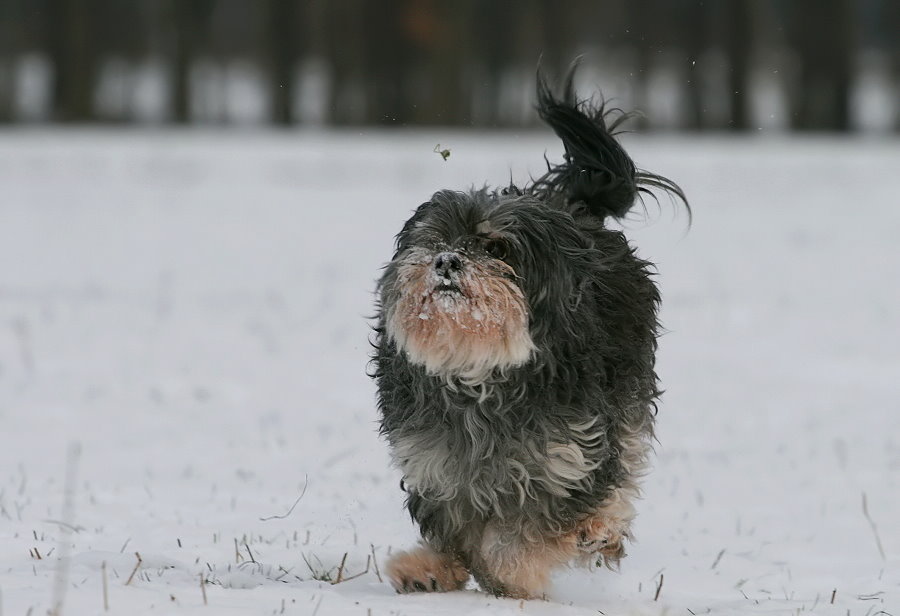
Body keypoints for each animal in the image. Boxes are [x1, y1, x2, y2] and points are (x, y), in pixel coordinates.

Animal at [372, 65, 688, 600]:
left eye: (497, 249)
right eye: (434, 239)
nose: (446, 261)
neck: (481, 374)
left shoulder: (568, 459)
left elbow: (520, 536)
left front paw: (514, 579)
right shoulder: (438, 465)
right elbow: (455, 531)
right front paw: (429, 570)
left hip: (625, 403)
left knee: (623, 473)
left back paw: (600, 532)